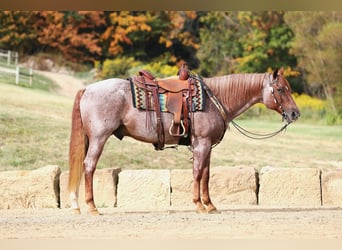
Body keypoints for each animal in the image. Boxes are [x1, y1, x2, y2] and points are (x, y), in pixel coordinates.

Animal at [67, 68, 300, 215]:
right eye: (281, 89)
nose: (295, 113)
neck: (214, 99)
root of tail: (88, 89)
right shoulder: (202, 144)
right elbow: (197, 173)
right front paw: (198, 205)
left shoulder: (206, 146)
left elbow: (205, 174)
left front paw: (210, 205)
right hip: (99, 138)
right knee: (89, 166)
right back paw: (92, 207)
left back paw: (76, 205)